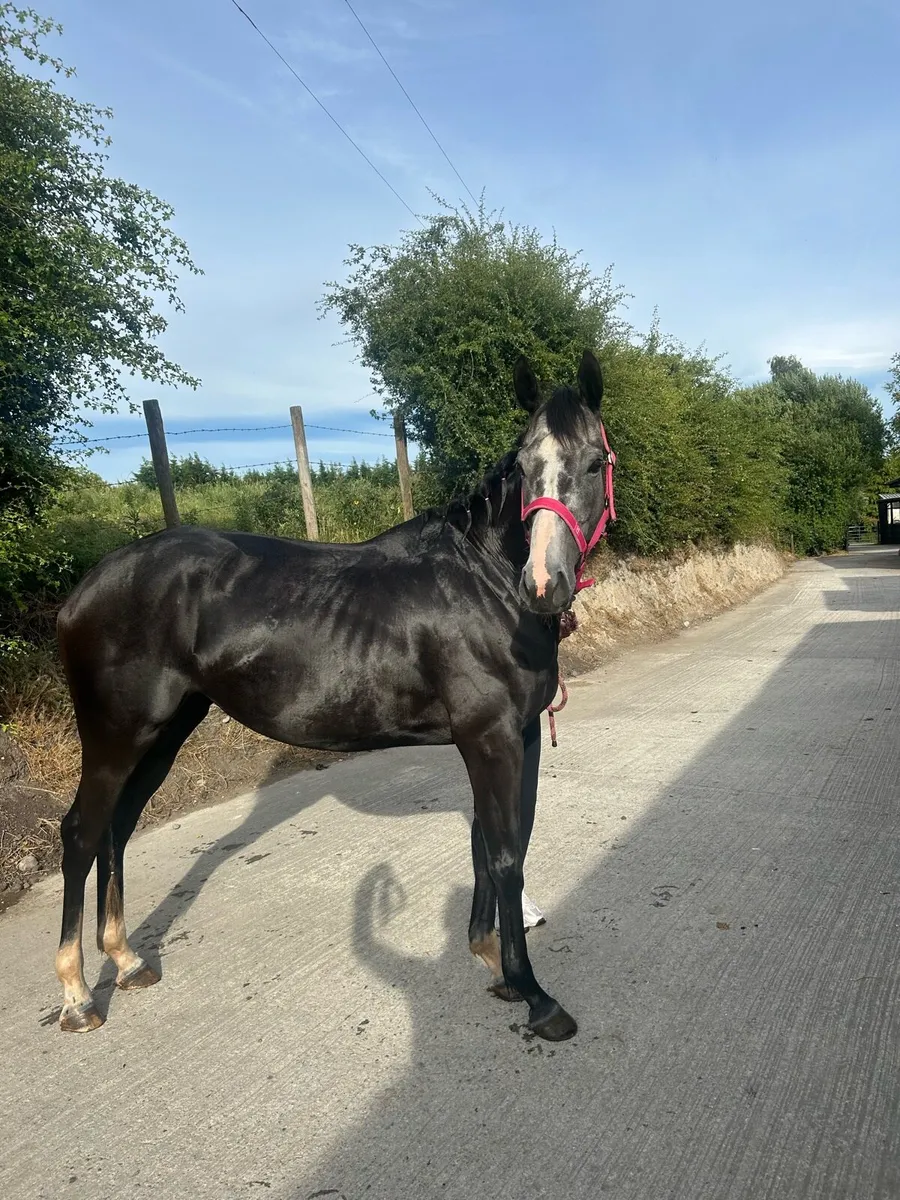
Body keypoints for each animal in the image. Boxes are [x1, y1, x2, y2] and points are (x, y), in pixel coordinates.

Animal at [54, 350, 616, 1041]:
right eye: (524, 466)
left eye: (594, 463)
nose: (544, 582)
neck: (486, 583)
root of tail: (84, 590)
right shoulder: (491, 738)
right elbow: (506, 853)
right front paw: (533, 993)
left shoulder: (521, 735)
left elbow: (492, 844)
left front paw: (492, 961)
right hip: (114, 735)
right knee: (81, 834)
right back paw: (78, 996)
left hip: (161, 735)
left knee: (116, 831)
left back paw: (127, 961)